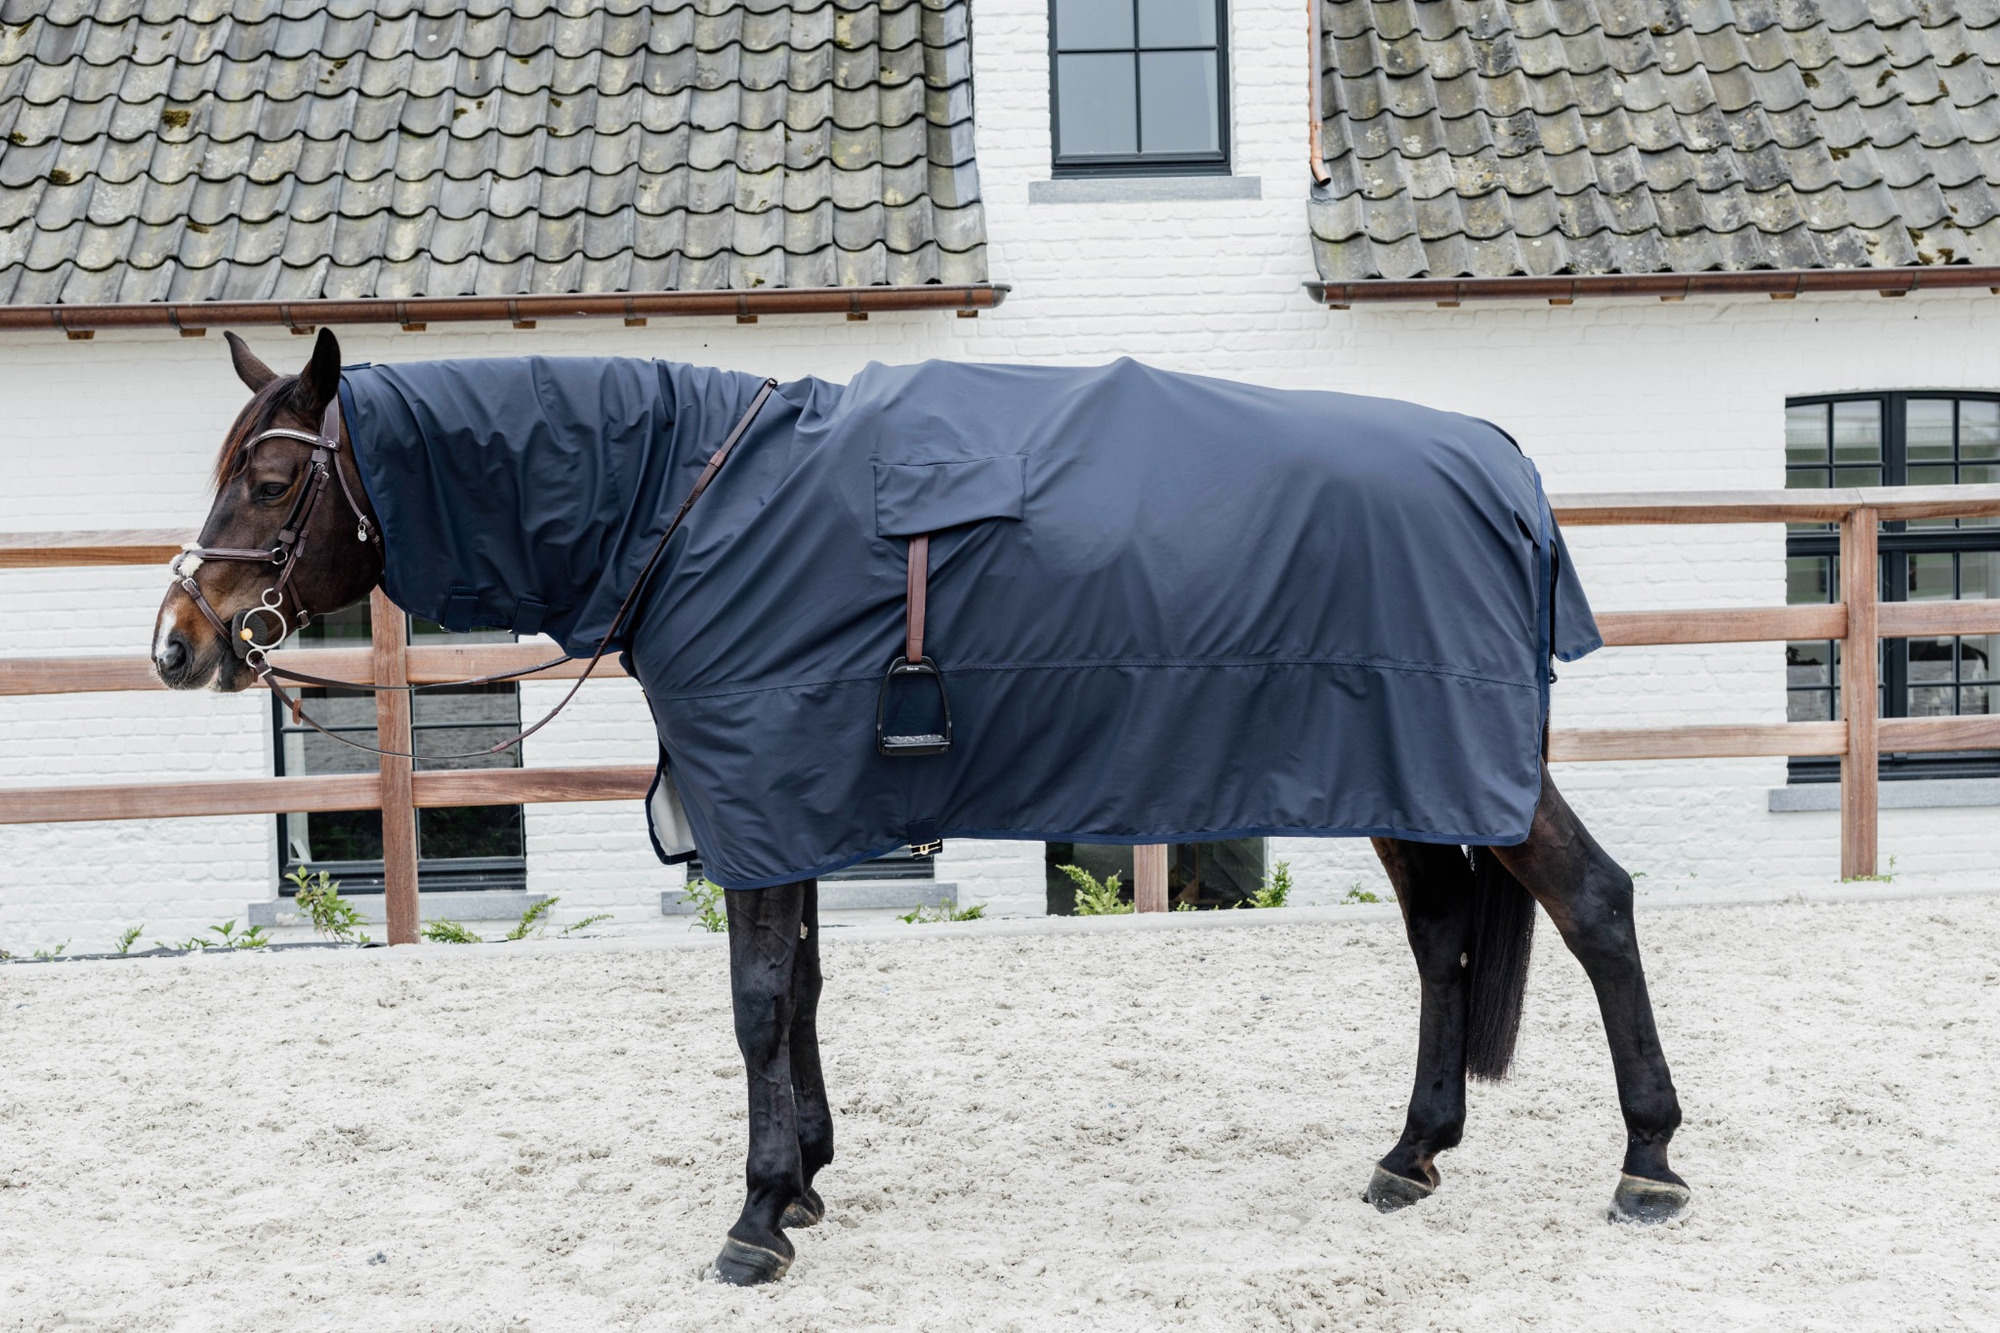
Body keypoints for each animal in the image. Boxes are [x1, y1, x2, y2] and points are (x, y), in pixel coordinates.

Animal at [151, 328, 1688, 1285]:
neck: (689, 506)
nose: (177, 641)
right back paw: (1412, 1153)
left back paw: (1648, 1162)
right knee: (1441, 940)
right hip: (1411, 778)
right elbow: (802, 990)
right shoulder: (783, 800)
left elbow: (755, 1003)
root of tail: (1501, 463)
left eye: (272, 478)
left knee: (1593, 905)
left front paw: (757, 1216)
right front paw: (807, 1177)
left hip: (1456, 763)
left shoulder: (761, 791)